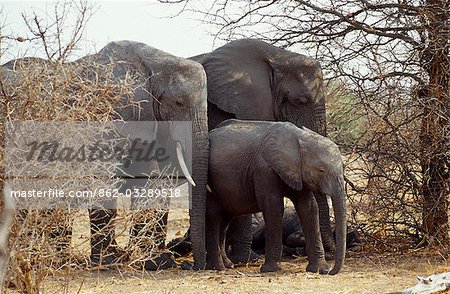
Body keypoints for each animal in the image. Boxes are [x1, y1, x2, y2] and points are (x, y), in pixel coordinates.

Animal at [1, 41, 210, 272]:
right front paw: (109, 263)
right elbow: (103, 179)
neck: (156, 64)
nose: (191, 265)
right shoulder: (112, 114)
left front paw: (155, 263)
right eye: (179, 103)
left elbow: (151, 178)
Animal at [206, 119, 346, 274]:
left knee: (225, 220)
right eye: (321, 170)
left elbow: (308, 208)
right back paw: (217, 267)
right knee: (214, 218)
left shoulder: (296, 171)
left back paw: (227, 265)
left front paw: (319, 269)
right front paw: (270, 269)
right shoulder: (264, 169)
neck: (299, 137)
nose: (331, 271)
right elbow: (274, 208)